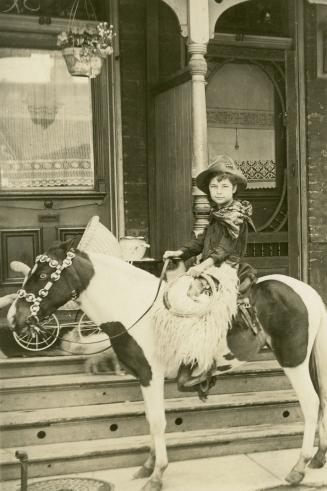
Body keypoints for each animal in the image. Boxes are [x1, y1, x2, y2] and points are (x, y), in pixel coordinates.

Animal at [6, 240, 327, 490]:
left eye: (43, 274)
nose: (12, 318)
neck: (134, 306)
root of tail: (308, 292)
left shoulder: (152, 376)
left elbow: (158, 422)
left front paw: (157, 475)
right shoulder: (142, 377)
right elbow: (150, 419)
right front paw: (147, 466)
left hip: (294, 361)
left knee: (311, 404)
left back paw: (298, 468)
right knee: (322, 401)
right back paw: (318, 457)